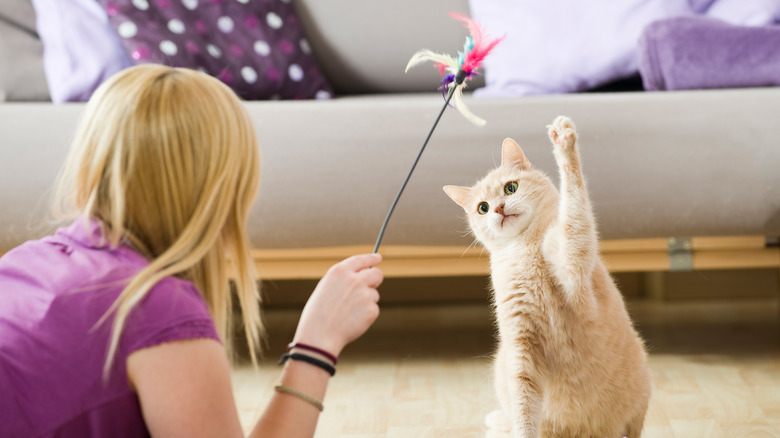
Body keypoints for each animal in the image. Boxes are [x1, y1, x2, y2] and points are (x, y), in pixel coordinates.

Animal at [444, 117, 652, 438]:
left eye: (510, 188)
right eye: (483, 208)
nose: (499, 209)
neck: (524, 249)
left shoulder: (572, 255)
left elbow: (574, 203)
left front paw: (564, 143)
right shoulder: (521, 349)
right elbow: (523, 409)